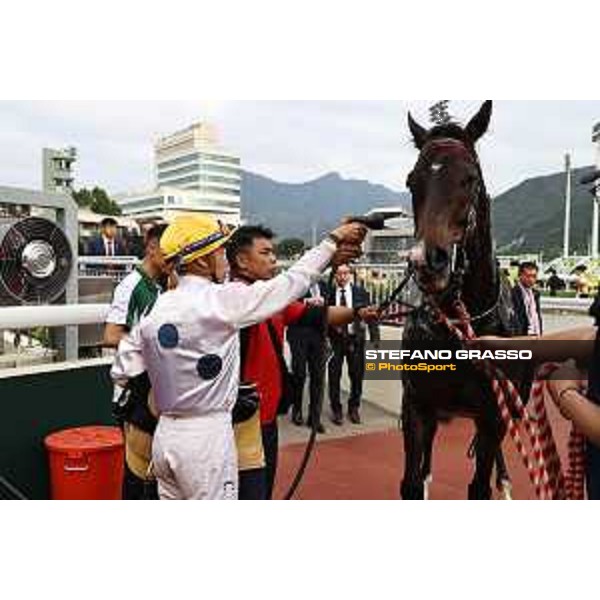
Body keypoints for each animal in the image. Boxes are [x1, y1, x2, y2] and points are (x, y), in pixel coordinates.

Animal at [398, 101, 516, 500]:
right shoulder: (418, 405)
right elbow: (411, 483)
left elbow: (479, 486)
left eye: (471, 178)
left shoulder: (492, 415)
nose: (427, 261)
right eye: (412, 181)